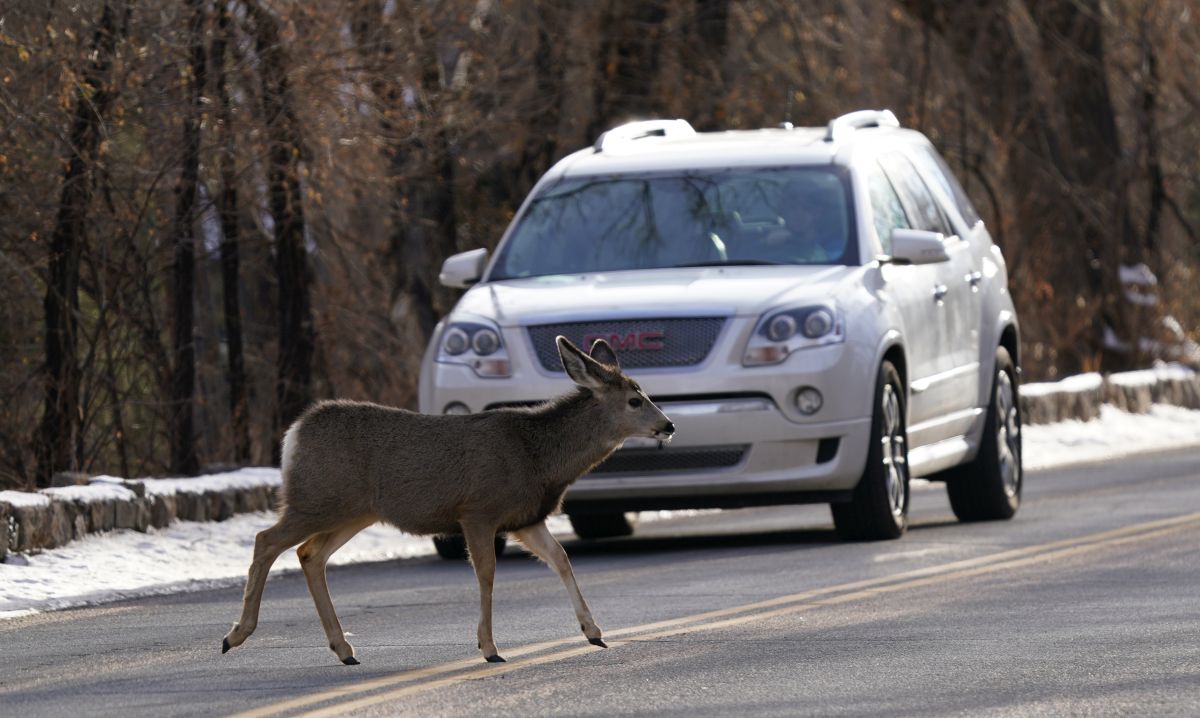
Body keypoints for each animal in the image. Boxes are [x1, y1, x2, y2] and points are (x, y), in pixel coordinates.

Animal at [219, 336, 676, 662]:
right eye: (635, 400)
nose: (669, 425)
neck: (539, 458)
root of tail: (293, 435)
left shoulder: (526, 517)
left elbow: (561, 559)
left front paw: (594, 632)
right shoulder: (478, 510)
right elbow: (487, 574)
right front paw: (489, 648)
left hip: (353, 511)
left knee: (309, 554)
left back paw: (344, 650)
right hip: (315, 498)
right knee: (267, 540)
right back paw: (235, 635)